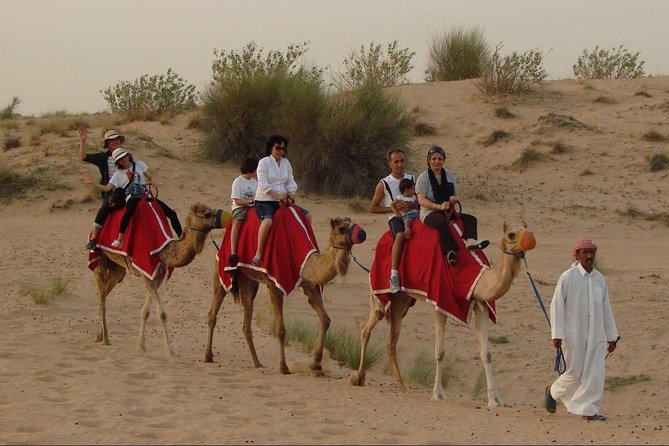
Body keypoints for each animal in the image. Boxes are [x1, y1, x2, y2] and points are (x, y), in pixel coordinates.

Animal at [92, 203, 228, 355]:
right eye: (206, 213)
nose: (227, 217)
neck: (164, 251)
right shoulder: (146, 274)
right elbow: (162, 313)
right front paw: (170, 350)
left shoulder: (158, 277)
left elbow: (145, 312)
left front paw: (141, 346)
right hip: (100, 260)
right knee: (102, 297)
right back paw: (106, 339)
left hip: (118, 270)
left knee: (104, 293)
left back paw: (99, 335)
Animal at [205, 217, 365, 375]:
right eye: (342, 228)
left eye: (352, 222)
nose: (362, 234)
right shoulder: (275, 285)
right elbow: (281, 329)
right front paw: (283, 367)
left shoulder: (309, 285)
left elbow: (325, 320)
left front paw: (316, 365)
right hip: (222, 270)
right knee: (213, 311)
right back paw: (208, 357)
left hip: (248, 281)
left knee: (246, 322)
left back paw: (258, 363)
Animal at [350, 221, 537, 405]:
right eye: (511, 234)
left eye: (527, 229)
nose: (531, 240)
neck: (472, 276)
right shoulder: (440, 302)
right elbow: (439, 352)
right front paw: (438, 394)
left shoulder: (480, 303)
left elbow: (487, 354)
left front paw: (495, 399)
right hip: (380, 291)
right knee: (369, 325)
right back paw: (358, 378)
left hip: (401, 302)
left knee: (391, 342)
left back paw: (401, 385)